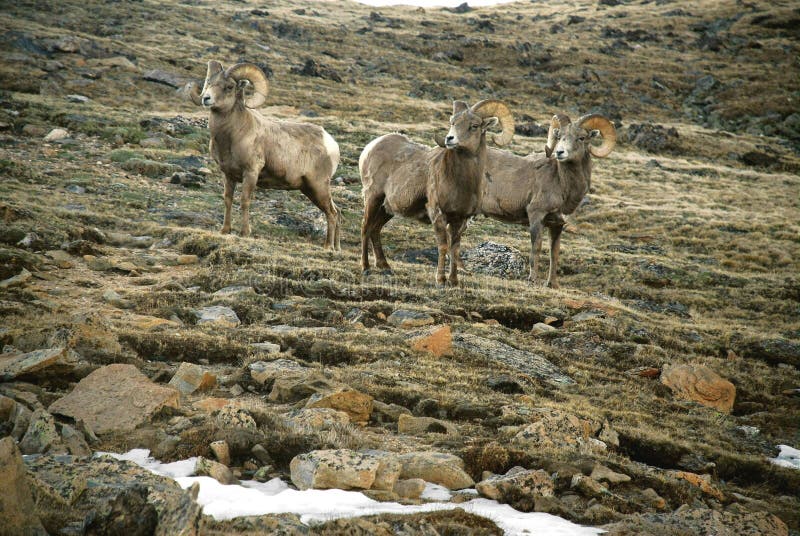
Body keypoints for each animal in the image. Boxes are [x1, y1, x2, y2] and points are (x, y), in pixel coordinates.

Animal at [189, 61, 342, 249]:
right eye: (209, 83)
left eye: (229, 87)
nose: (206, 99)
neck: (234, 134)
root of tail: (331, 144)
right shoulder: (228, 175)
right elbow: (228, 200)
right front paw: (225, 230)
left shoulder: (251, 172)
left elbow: (244, 201)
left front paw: (245, 233)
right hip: (309, 189)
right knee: (336, 211)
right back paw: (336, 248)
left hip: (318, 186)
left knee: (332, 213)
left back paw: (328, 246)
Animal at [360, 99, 516, 284]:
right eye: (453, 122)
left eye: (474, 126)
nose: (450, 139)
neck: (462, 183)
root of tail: (370, 147)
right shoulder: (438, 214)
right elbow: (443, 246)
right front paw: (440, 280)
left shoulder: (460, 219)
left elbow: (455, 248)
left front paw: (454, 282)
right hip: (373, 198)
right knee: (365, 228)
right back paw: (366, 268)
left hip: (387, 209)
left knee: (375, 229)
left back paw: (385, 266)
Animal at [478, 113, 616, 288]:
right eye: (559, 136)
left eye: (581, 138)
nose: (560, 152)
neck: (562, 184)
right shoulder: (536, 216)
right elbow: (536, 248)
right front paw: (533, 280)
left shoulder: (557, 225)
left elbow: (554, 253)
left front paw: (552, 284)